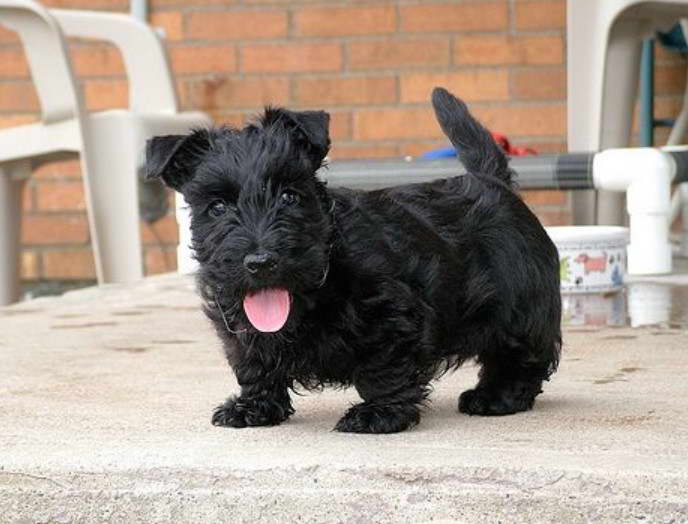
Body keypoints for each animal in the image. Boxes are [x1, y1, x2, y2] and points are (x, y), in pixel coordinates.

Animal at [145, 88, 560, 434]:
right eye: (217, 206)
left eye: (290, 196)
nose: (261, 262)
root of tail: (496, 183)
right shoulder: (240, 326)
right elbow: (254, 364)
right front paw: (254, 407)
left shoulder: (393, 315)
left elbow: (384, 370)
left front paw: (378, 414)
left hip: (522, 312)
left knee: (521, 358)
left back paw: (495, 397)